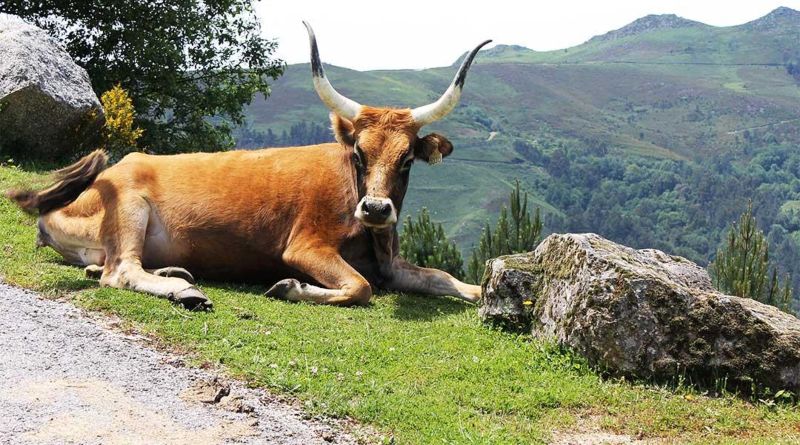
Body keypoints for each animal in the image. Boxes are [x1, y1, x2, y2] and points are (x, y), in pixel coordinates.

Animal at [6, 23, 490, 308]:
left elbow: (447, 278)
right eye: (359, 153)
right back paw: (185, 289)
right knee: (121, 271)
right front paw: (291, 286)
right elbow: (359, 287)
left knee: (109, 268)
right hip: (130, 207)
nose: (375, 209)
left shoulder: (391, 263)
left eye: (406, 159)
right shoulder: (306, 248)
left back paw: (172, 272)